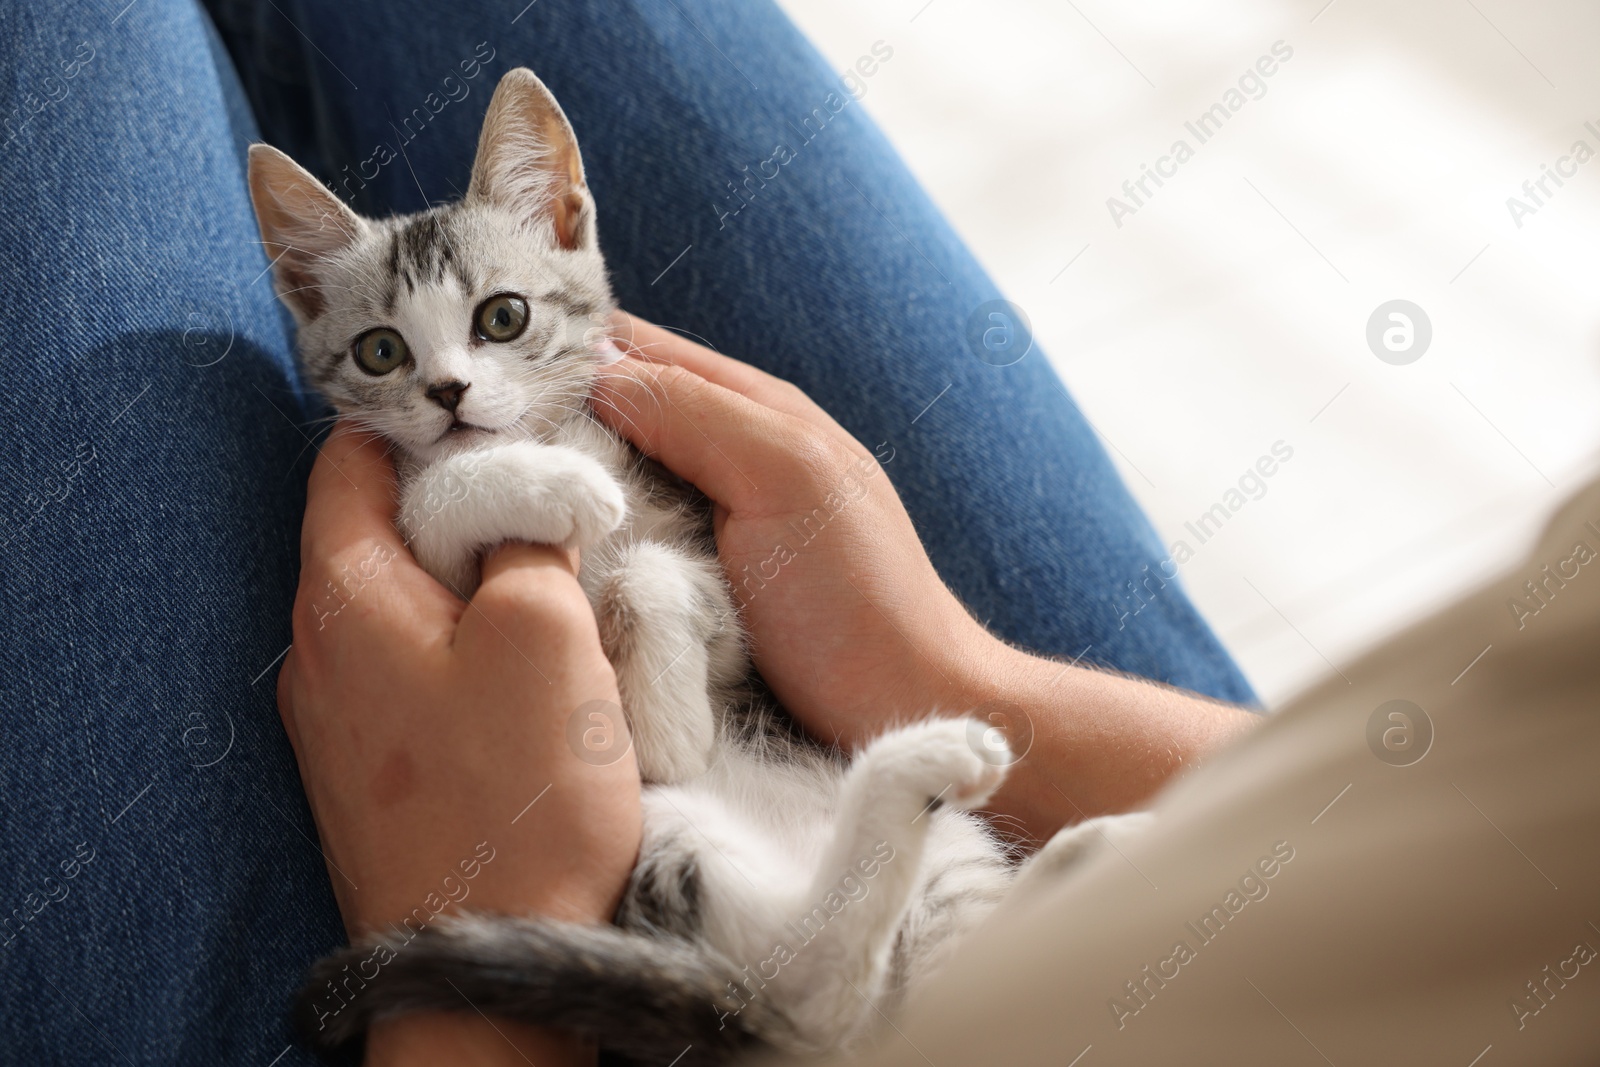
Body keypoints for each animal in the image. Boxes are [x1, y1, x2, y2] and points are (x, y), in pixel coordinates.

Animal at [249, 68, 1145, 1067]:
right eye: (381, 350)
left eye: (502, 317)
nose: (448, 392)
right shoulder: (436, 559)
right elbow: (435, 496)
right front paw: (556, 486)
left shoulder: (723, 599)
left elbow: (655, 570)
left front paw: (667, 719)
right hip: (672, 839)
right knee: (820, 993)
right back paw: (946, 784)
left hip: (941, 865)